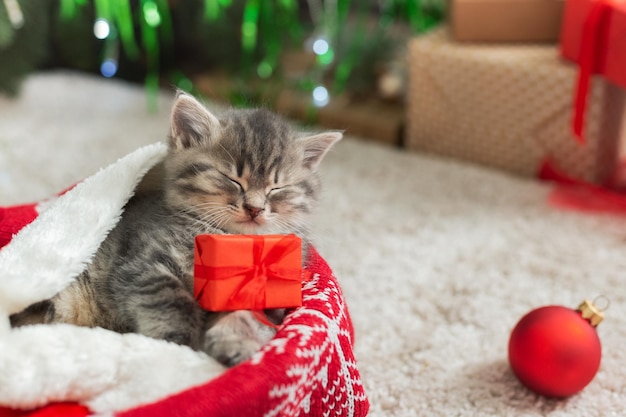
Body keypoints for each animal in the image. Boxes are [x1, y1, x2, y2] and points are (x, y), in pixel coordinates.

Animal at [11, 92, 342, 366]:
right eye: (232, 179)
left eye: (277, 188)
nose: (255, 208)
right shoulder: (144, 263)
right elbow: (171, 303)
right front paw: (176, 347)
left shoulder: (268, 293)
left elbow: (246, 314)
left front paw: (235, 342)